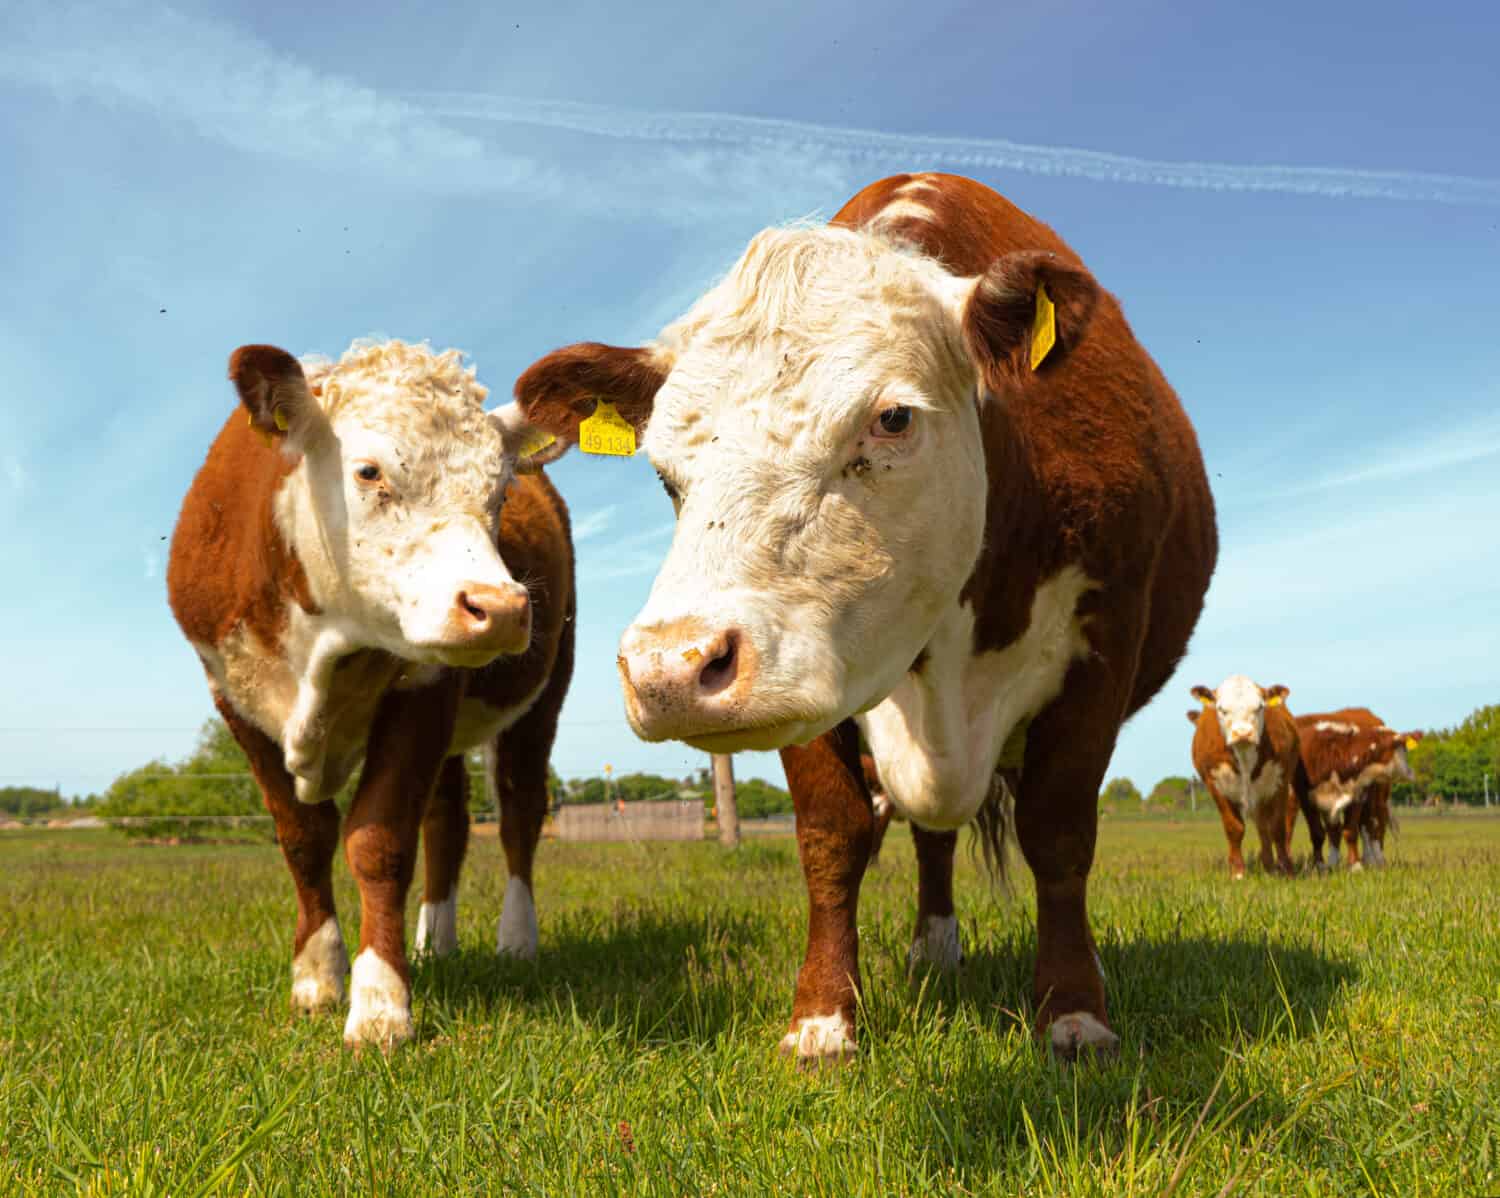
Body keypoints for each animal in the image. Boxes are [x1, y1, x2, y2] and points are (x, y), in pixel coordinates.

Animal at [167, 340, 570, 1049]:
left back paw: (517, 939)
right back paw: (436, 940)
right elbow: (304, 838)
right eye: (369, 471)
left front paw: (380, 1004)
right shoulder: (233, 699)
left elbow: (378, 842)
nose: (499, 608)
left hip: (543, 694)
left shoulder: (427, 687)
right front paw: (317, 977)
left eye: (501, 491)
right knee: (448, 821)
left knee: (519, 810)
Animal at [516, 173, 1218, 1061]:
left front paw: (1074, 1012)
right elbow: (832, 836)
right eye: (664, 469)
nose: (670, 668)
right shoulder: (804, 671)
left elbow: (1059, 831)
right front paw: (821, 1019)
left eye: (892, 418)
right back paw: (933, 947)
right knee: (930, 833)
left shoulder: (1105, 639)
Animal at [1182, 674, 1302, 881]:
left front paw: (1286, 871)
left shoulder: (1280, 782)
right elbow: (1234, 828)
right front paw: (1238, 873)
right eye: (1221, 709)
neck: (1244, 755)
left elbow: (1278, 828)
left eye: (1259, 707)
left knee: (1268, 827)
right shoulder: (1215, 785)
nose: (1243, 732)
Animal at [1290, 701, 1416, 869]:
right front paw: (1324, 865)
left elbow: (1350, 830)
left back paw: (1376, 860)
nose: (1411, 772)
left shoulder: (1358, 794)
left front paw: (1355, 866)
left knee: (1374, 826)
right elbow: (1321, 832)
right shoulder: (1306, 798)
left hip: (1378, 798)